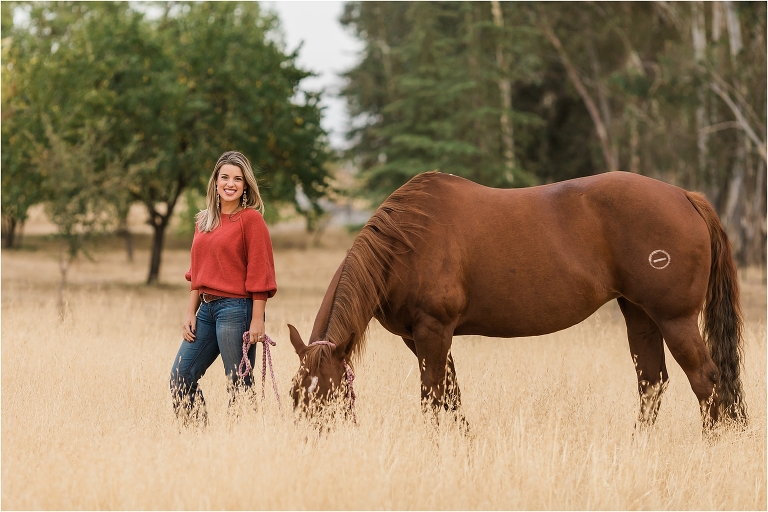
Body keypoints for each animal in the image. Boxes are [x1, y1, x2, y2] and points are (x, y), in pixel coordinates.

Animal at [287, 171, 747, 431]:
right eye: (295, 395)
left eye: (329, 394)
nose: (311, 443)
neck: (406, 242)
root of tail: (687, 196)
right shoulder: (420, 338)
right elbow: (450, 393)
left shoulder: (433, 331)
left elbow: (433, 396)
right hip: (641, 316)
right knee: (652, 382)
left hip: (675, 318)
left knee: (706, 379)